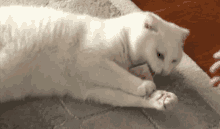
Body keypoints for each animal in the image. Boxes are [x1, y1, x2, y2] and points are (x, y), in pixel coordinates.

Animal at [0, 5, 189, 111]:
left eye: (174, 61)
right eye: (159, 55)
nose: (164, 72)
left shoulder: (87, 88)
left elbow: (125, 97)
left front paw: (159, 98)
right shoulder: (90, 61)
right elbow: (121, 75)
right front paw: (144, 85)